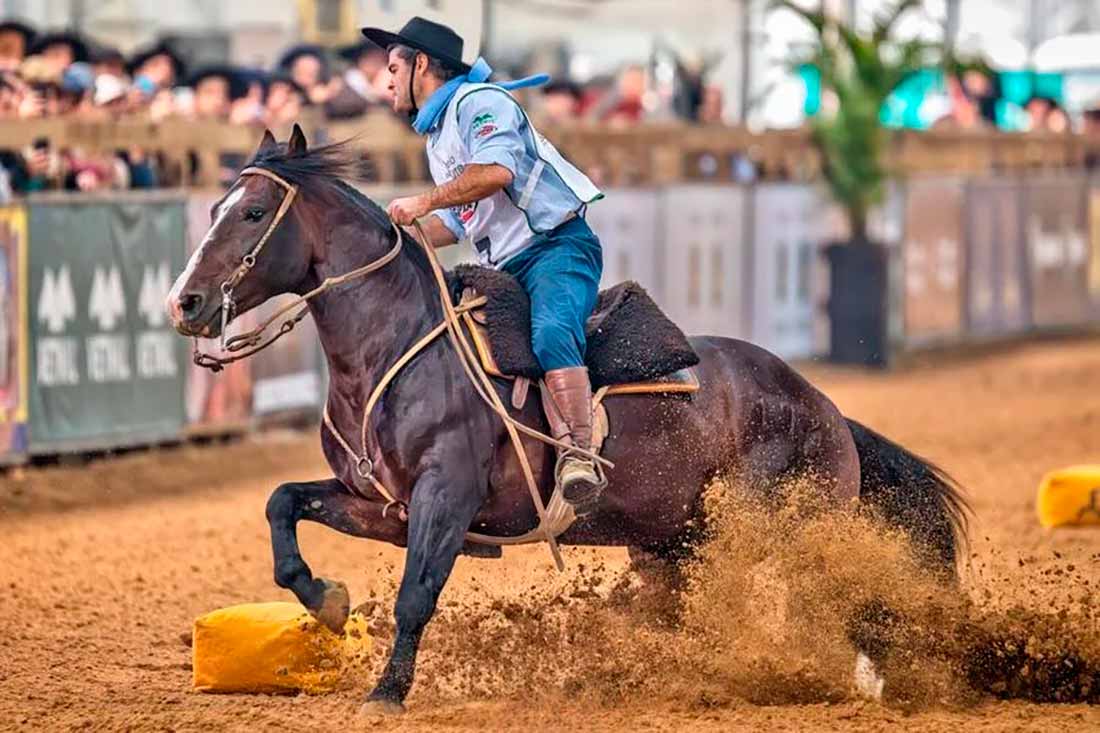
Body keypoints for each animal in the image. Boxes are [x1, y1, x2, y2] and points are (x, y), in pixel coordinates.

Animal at [167, 127, 968, 713]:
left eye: (251, 213)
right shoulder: (381, 502)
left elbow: (416, 594)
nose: (185, 302)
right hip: (670, 544)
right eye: (210, 210)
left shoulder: (444, 498)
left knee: (832, 600)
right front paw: (327, 601)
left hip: (779, 525)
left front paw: (387, 692)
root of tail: (825, 408)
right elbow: (282, 506)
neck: (394, 345)